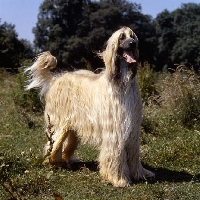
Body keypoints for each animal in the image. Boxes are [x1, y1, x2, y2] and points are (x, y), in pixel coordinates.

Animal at [24, 27, 153, 188]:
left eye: (133, 36)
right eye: (122, 37)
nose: (133, 44)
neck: (122, 82)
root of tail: (56, 79)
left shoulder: (132, 129)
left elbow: (134, 153)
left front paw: (141, 173)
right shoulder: (115, 130)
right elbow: (115, 154)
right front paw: (118, 179)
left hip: (73, 126)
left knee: (66, 144)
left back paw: (67, 160)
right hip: (58, 123)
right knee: (52, 144)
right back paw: (53, 161)